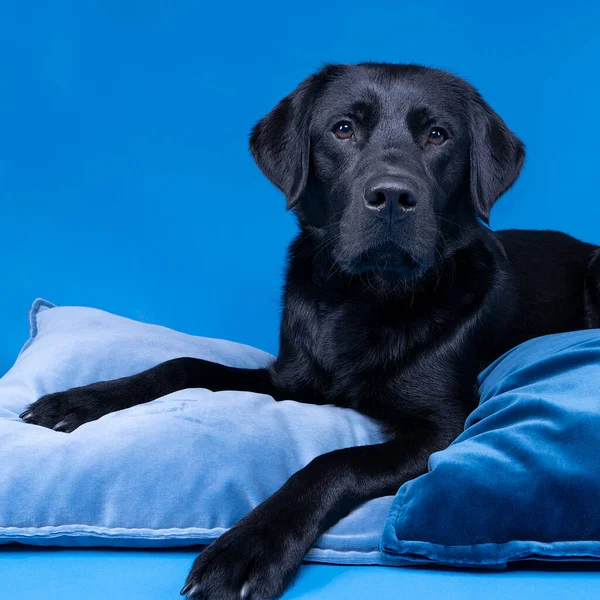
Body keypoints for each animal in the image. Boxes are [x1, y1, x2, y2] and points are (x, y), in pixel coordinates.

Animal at [18, 63, 600, 596]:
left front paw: (247, 549)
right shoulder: (293, 380)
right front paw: (76, 400)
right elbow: (183, 364)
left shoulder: (444, 428)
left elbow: (333, 462)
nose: (393, 197)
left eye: (438, 135)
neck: (364, 297)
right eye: (343, 129)